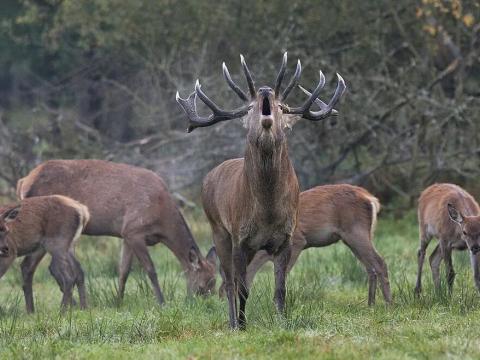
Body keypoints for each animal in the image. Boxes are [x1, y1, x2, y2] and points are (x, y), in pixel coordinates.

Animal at [16, 159, 216, 302]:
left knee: (31, 266)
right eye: (203, 285)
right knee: (42, 267)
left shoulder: (126, 235)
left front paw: (118, 301)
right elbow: (150, 269)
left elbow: (123, 271)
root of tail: (23, 182)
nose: (206, 304)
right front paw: (161, 301)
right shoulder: (134, 229)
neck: (162, 220)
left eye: (214, 283)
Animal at [176, 51, 344, 330]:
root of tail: (209, 176)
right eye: (250, 108)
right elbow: (242, 287)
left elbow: (281, 289)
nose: (265, 90)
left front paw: (282, 321)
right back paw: (232, 322)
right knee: (229, 281)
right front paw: (243, 325)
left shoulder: (286, 238)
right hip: (218, 230)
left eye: (281, 107)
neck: (267, 212)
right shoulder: (240, 237)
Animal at [219, 184, 392, 306]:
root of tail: (372, 199)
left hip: (356, 231)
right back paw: (371, 304)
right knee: (370, 267)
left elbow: (283, 276)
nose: (219, 300)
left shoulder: (297, 241)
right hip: (354, 237)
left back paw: (389, 305)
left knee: (380, 262)